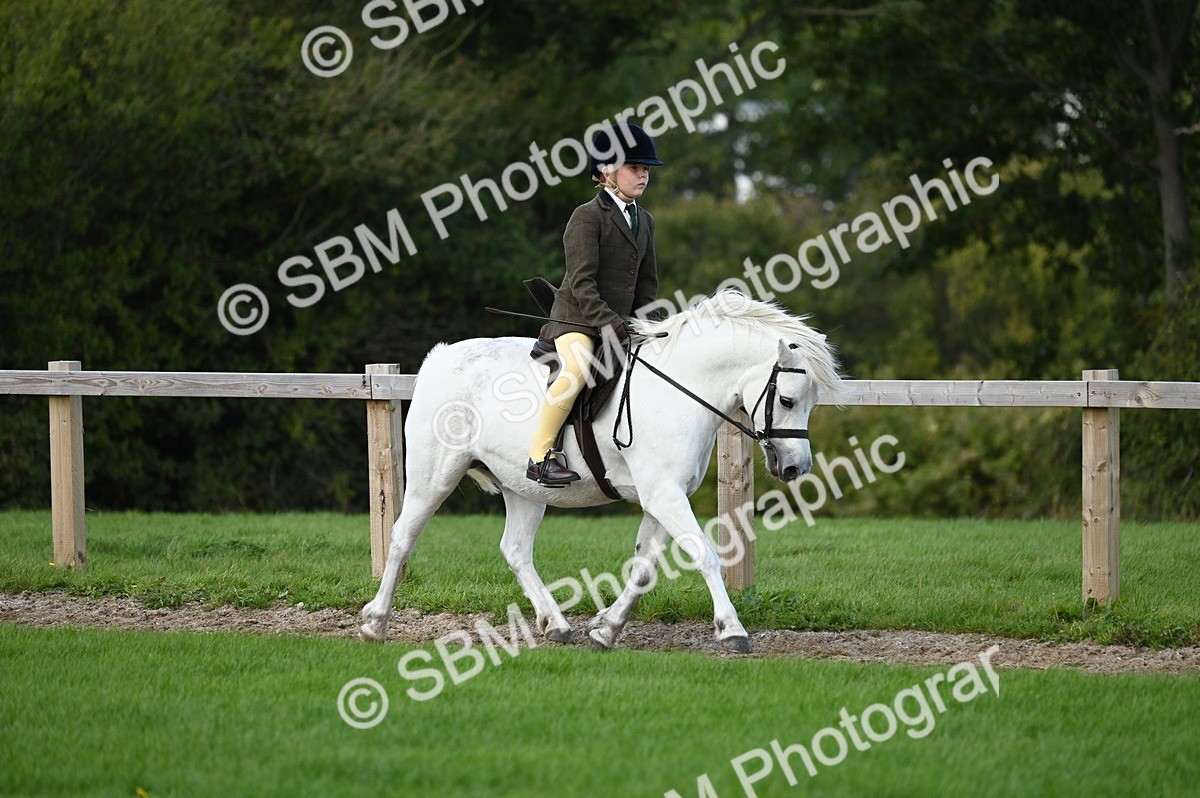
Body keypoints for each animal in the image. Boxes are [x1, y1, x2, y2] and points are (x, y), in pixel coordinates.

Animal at [359, 290, 842, 652]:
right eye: (787, 400)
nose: (796, 466)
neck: (681, 387)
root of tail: (439, 358)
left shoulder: (663, 496)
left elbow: (644, 569)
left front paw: (606, 629)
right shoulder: (665, 494)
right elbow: (705, 553)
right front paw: (732, 629)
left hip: (524, 487)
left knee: (515, 550)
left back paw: (556, 624)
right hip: (434, 477)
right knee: (402, 537)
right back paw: (375, 622)